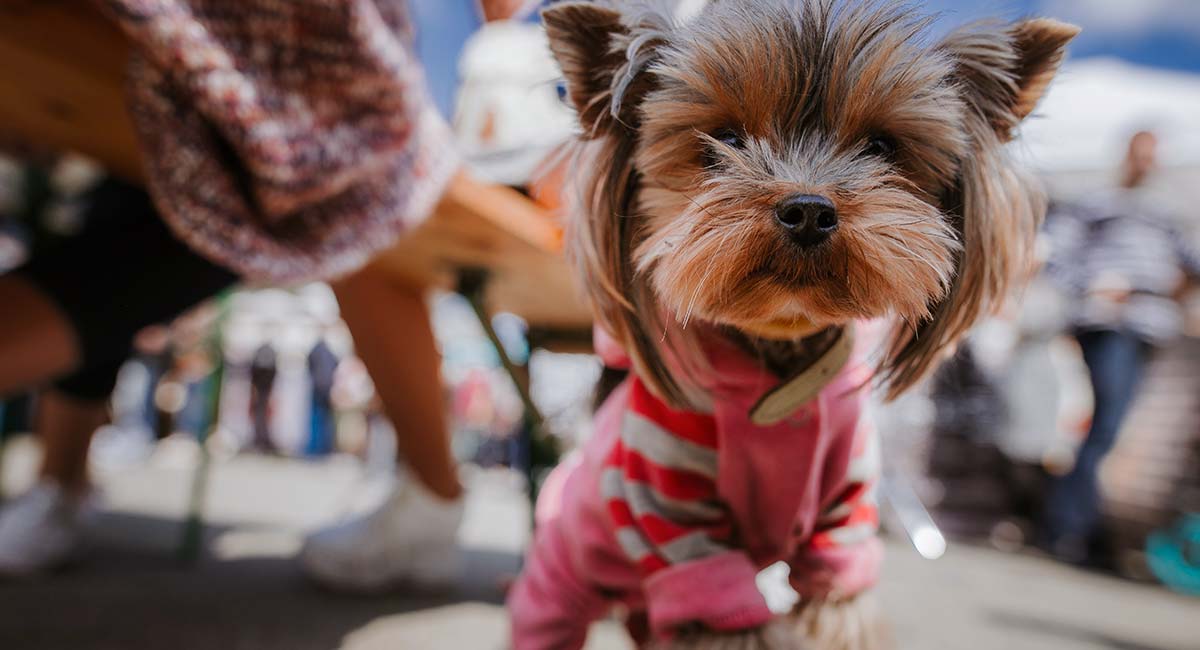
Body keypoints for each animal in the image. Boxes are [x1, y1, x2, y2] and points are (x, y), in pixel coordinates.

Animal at [506, 2, 1080, 647]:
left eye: (882, 146)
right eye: (725, 140)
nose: (808, 209)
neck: (781, 347)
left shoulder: (845, 519)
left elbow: (838, 606)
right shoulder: (674, 518)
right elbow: (725, 612)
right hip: (557, 581)